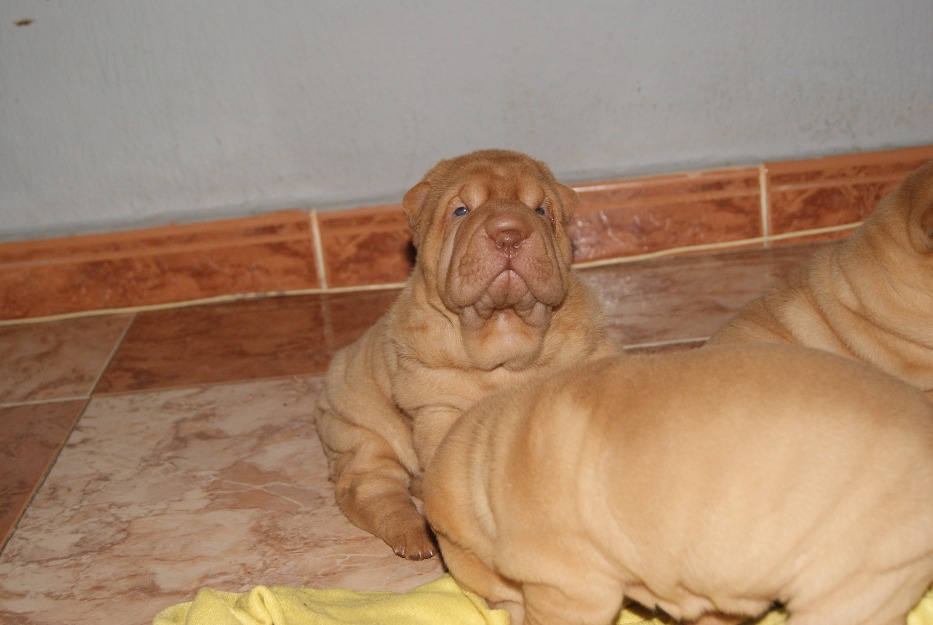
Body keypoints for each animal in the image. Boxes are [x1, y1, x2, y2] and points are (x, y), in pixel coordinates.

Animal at [314, 149, 620, 560]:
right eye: (461, 210)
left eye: (540, 210)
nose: (509, 233)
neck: (503, 337)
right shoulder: (437, 411)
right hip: (362, 435)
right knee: (371, 490)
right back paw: (414, 535)